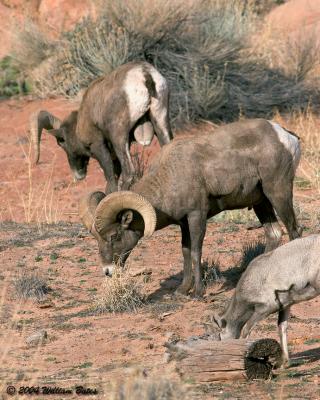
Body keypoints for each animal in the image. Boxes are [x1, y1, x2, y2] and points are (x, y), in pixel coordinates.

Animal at [31, 62, 172, 192]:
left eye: (61, 143)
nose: (78, 175)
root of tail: (144, 74)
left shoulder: (98, 147)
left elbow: (110, 177)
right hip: (161, 123)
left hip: (119, 138)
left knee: (128, 172)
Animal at [79, 119, 302, 296]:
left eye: (114, 236)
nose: (108, 272)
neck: (168, 177)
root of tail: (285, 136)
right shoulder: (183, 223)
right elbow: (185, 252)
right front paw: (182, 290)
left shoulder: (197, 216)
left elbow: (196, 251)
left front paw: (198, 292)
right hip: (261, 203)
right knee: (274, 234)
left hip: (278, 193)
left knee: (294, 231)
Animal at [215, 234, 320, 368]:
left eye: (220, 336)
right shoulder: (285, 305)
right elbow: (282, 327)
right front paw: (284, 363)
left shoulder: (265, 309)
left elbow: (246, 330)